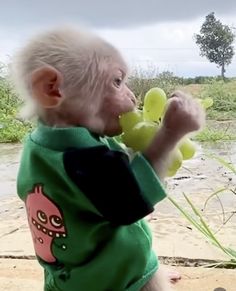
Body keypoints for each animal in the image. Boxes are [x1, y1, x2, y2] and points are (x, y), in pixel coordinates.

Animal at [11, 26, 205, 290]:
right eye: (117, 81)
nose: (133, 98)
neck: (61, 128)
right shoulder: (89, 167)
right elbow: (132, 196)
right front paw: (180, 117)